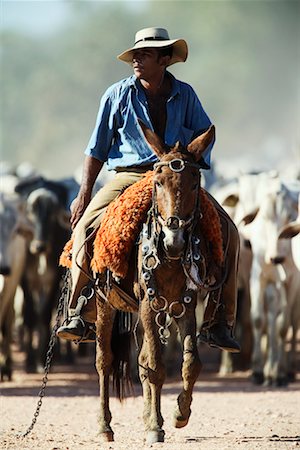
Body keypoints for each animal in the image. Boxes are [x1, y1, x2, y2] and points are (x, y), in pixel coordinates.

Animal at [94, 123, 216, 442]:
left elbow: (190, 363)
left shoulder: (185, 304)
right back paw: (105, 426)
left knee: (142, 361)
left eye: (195, 183)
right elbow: (157, 366)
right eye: (158, 183)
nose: (175, 240)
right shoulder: (149, 304)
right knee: (105, 360)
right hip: (105, 303)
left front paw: (179, 414)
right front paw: (154, 427)